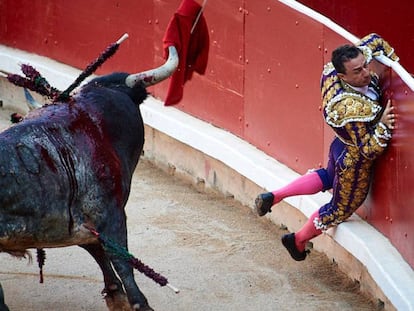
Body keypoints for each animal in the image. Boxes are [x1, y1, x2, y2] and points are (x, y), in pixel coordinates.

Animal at [0, 44, 178, 311]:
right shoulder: (110, 212)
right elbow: (120, 259)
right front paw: (138, 303)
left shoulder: (73, 221)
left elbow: (96, 249)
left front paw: (115, 294)